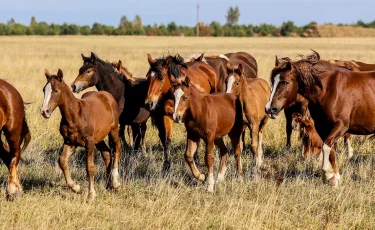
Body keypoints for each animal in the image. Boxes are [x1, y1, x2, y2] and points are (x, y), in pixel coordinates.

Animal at [42, 69, 122, 200]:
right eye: (44, 90)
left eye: (56, 90)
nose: (44, 111)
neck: (75, 115)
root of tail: (107, 95)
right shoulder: (70, 142)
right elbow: (62, 161)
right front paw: (76, 187)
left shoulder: (89, 142)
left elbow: (89, 167)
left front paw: (91, 194)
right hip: (98, 138)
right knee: (106, 153)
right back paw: (108, 185)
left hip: (113, 130)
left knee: (117, 148)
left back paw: (115, 183)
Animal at [266, 51, 375, 186]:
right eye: (272, 82)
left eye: (285, 82)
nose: (270, 109)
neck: (329, 89)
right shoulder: (322, 127)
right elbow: (331, 150)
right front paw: (335, 177)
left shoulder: (341, 126)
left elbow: (326, 147)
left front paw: (327, 174)